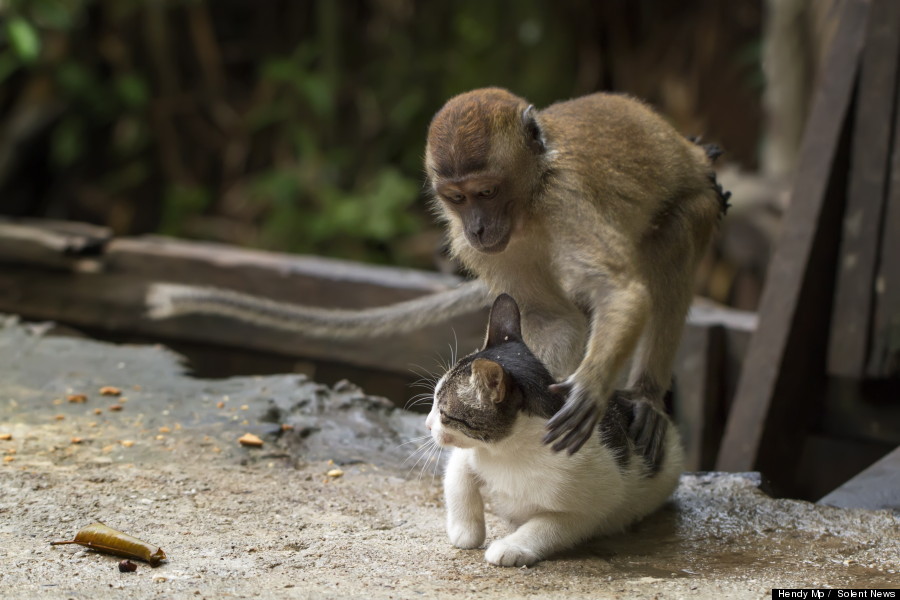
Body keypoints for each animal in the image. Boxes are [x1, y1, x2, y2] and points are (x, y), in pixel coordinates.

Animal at [146, 86, 724, 460]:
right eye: (457, 198)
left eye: (487, 191)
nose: (478, 227)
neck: (530, 199)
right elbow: (550, 319)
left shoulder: (565, 200)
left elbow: (620, 292)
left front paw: (590, 391)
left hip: (703, 200)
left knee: (677, 230)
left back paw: (646, 396)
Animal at [426, 294, 684, 568]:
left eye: (443, 412)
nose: (428, 424)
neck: (507, 452)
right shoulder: (472, 452)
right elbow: (458, 479)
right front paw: (465, 532)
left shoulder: (592, 506)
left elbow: (548, 525)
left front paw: (511, 546)